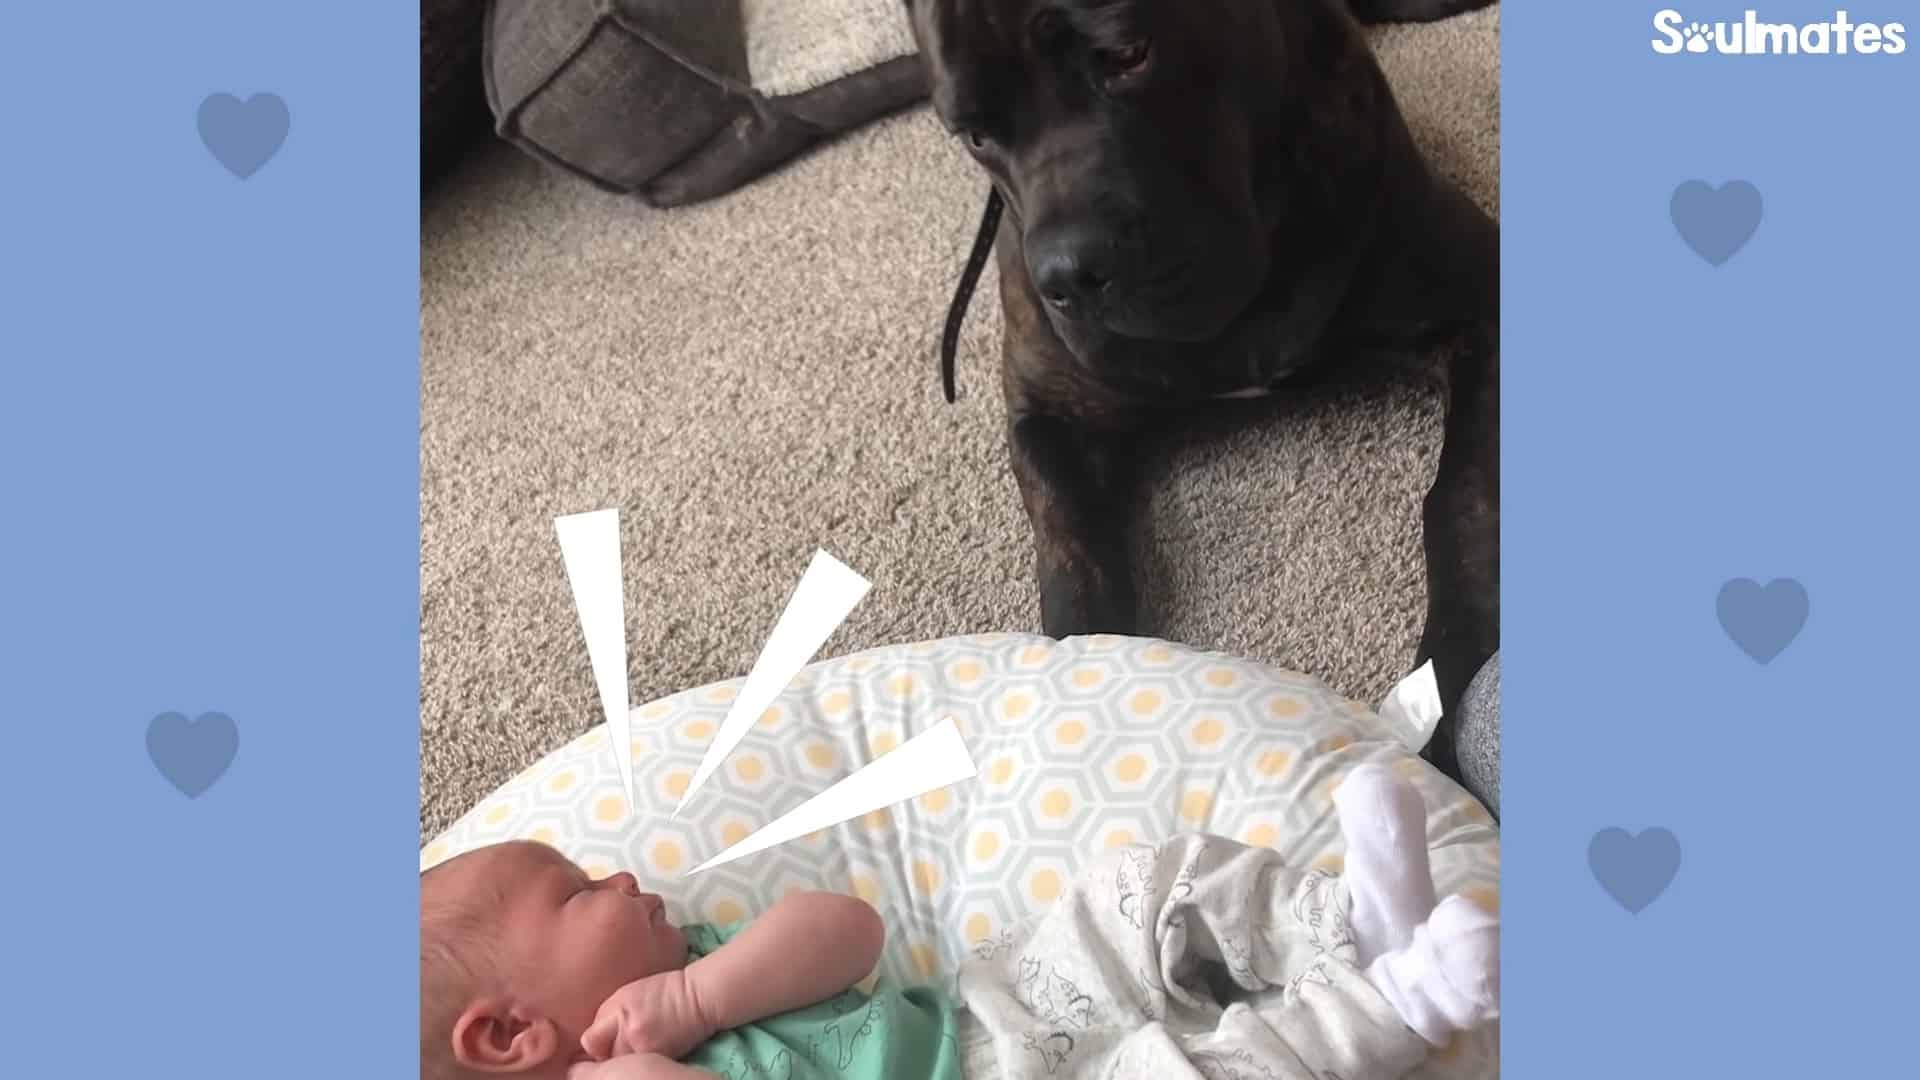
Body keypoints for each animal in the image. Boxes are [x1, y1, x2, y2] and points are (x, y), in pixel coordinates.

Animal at [910, 0, 1497, 776]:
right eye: (975, 135)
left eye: (1128, 54)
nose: (1068, 276)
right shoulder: (1047, 411)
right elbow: (1071, 551)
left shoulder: (1482, 302)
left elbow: (1463, 502)